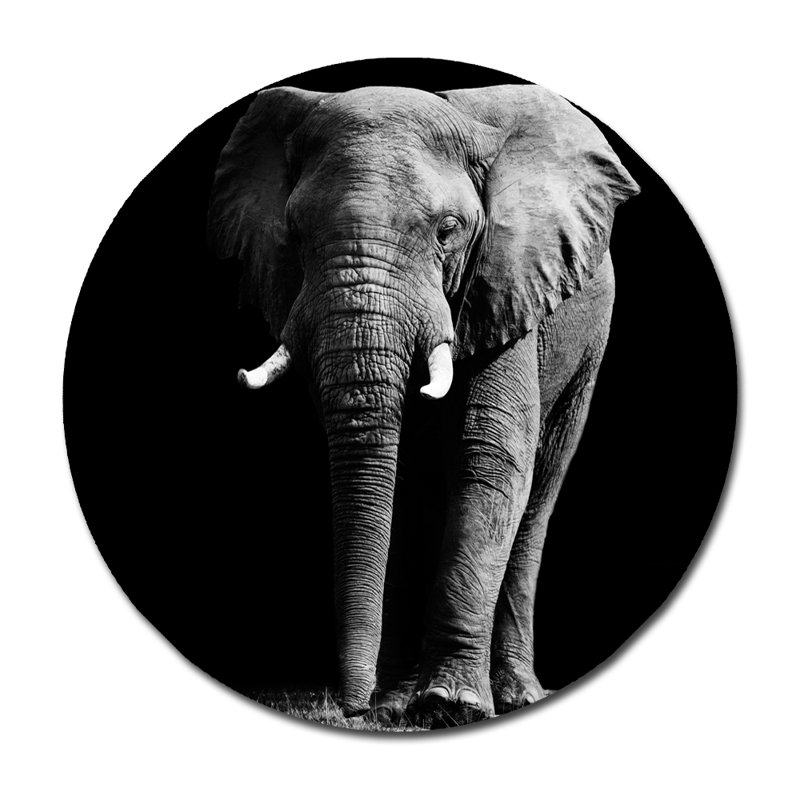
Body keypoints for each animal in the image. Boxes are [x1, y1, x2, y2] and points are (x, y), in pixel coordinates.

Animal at [208, 83, 639, 727]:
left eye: (449, 229)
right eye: (294, 231)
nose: (351, 710)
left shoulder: (505, 283)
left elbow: (490, 457)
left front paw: (451, 707)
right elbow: (401, 475)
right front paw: (401, 706)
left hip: (590, 341)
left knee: (541, 485)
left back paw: (512, 696)